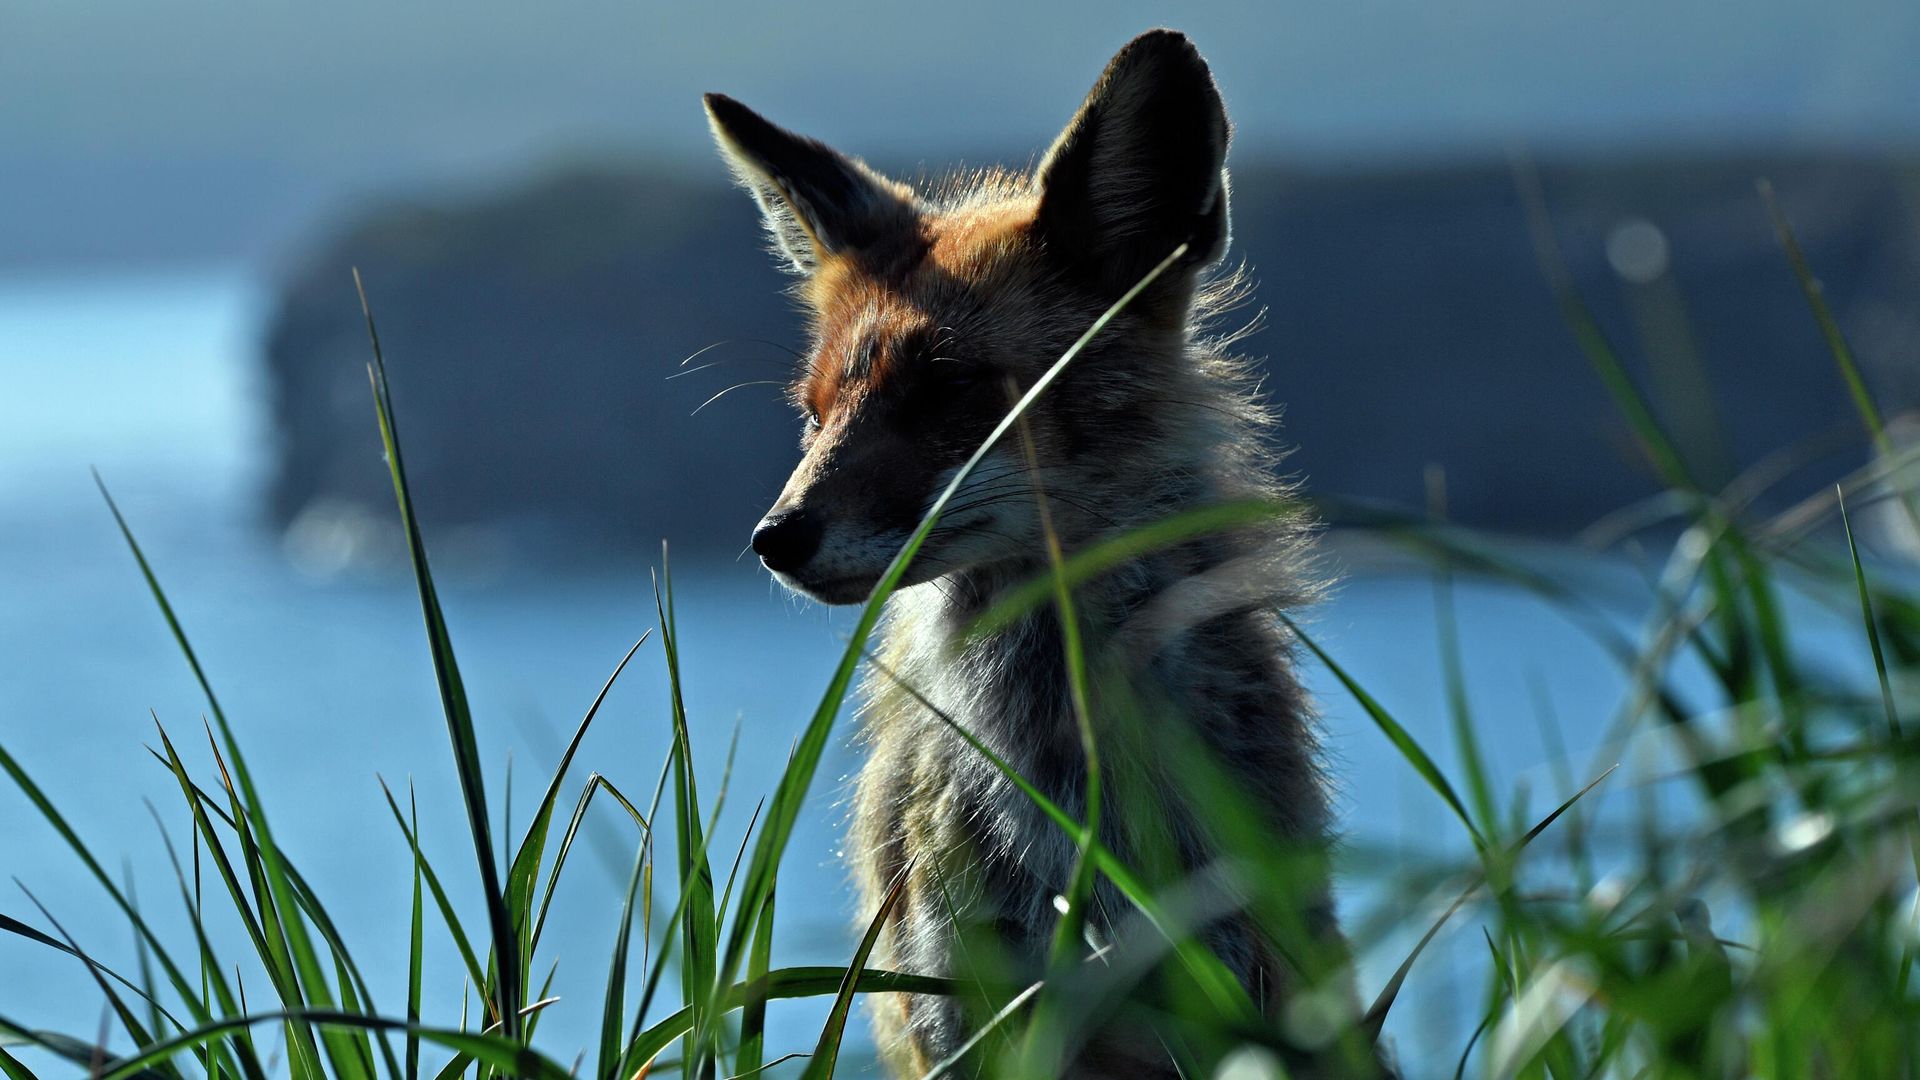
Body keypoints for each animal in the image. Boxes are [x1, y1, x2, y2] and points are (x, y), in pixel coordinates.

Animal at [704, 29, 1379, 1078]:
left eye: (946, 391)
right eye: (813, 416)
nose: (775, 539)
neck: (1067, 812)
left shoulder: (1231, 984)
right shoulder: (961, 1009)